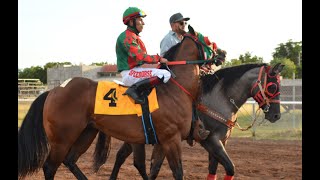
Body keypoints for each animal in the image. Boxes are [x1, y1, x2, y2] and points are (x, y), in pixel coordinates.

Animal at [18, 25, 211, 180]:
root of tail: (54, 90)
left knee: (70, 160)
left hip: (87, 132)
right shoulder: (171, 138)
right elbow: (175, 171)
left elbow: (153, 168)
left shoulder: (159, 140)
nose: (217, 56)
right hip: (62, 139)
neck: (174, 89)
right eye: (208, 41)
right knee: (50, 167)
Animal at [95, 62, 284, 179]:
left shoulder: (220, 142)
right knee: (137, 163)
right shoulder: (211, 141)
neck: (218, 98)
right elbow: (230, 167)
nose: (276, 115)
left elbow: (213, 170)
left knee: (122, 156)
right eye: (272, 86)